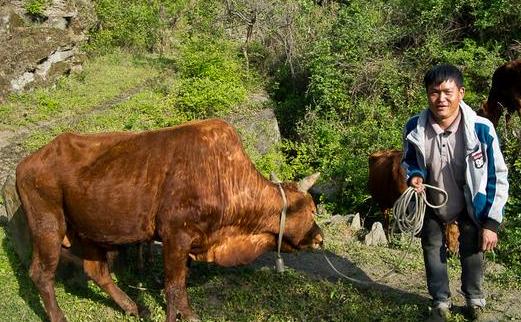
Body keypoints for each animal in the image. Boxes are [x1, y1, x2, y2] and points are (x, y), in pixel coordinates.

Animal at [16, 119, 320, 322]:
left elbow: (180, 284)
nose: (319, 237)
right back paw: (59, 316)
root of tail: (26, 162)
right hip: (48, 226)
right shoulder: (175, 236)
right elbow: (173, 287)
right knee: (41, 274)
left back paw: (132, 307)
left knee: (96, 271)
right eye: (312, 210)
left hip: (88, 232)